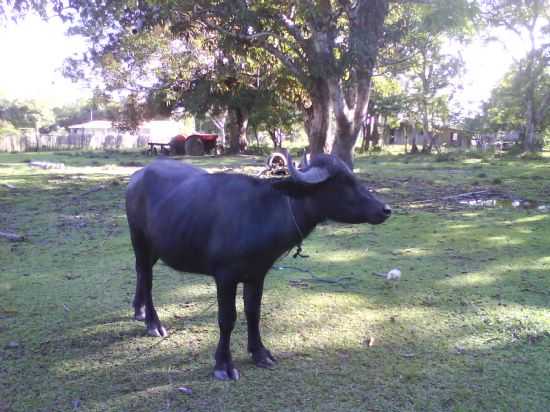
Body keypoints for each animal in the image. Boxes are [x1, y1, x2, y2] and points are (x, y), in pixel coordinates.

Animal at [126, 154, 392, 380]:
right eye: (342, 183)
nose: (385, 209)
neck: (262, 213)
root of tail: (138, 176)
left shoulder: (257, 274)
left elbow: (253, 312)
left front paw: (260, 353)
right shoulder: (225, 277)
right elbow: (227, 319)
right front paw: (223, 364)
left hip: (156, 247)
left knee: (140, 272)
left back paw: (139, 311)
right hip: (140, 240)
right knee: (146, 276)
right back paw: (153, 323)